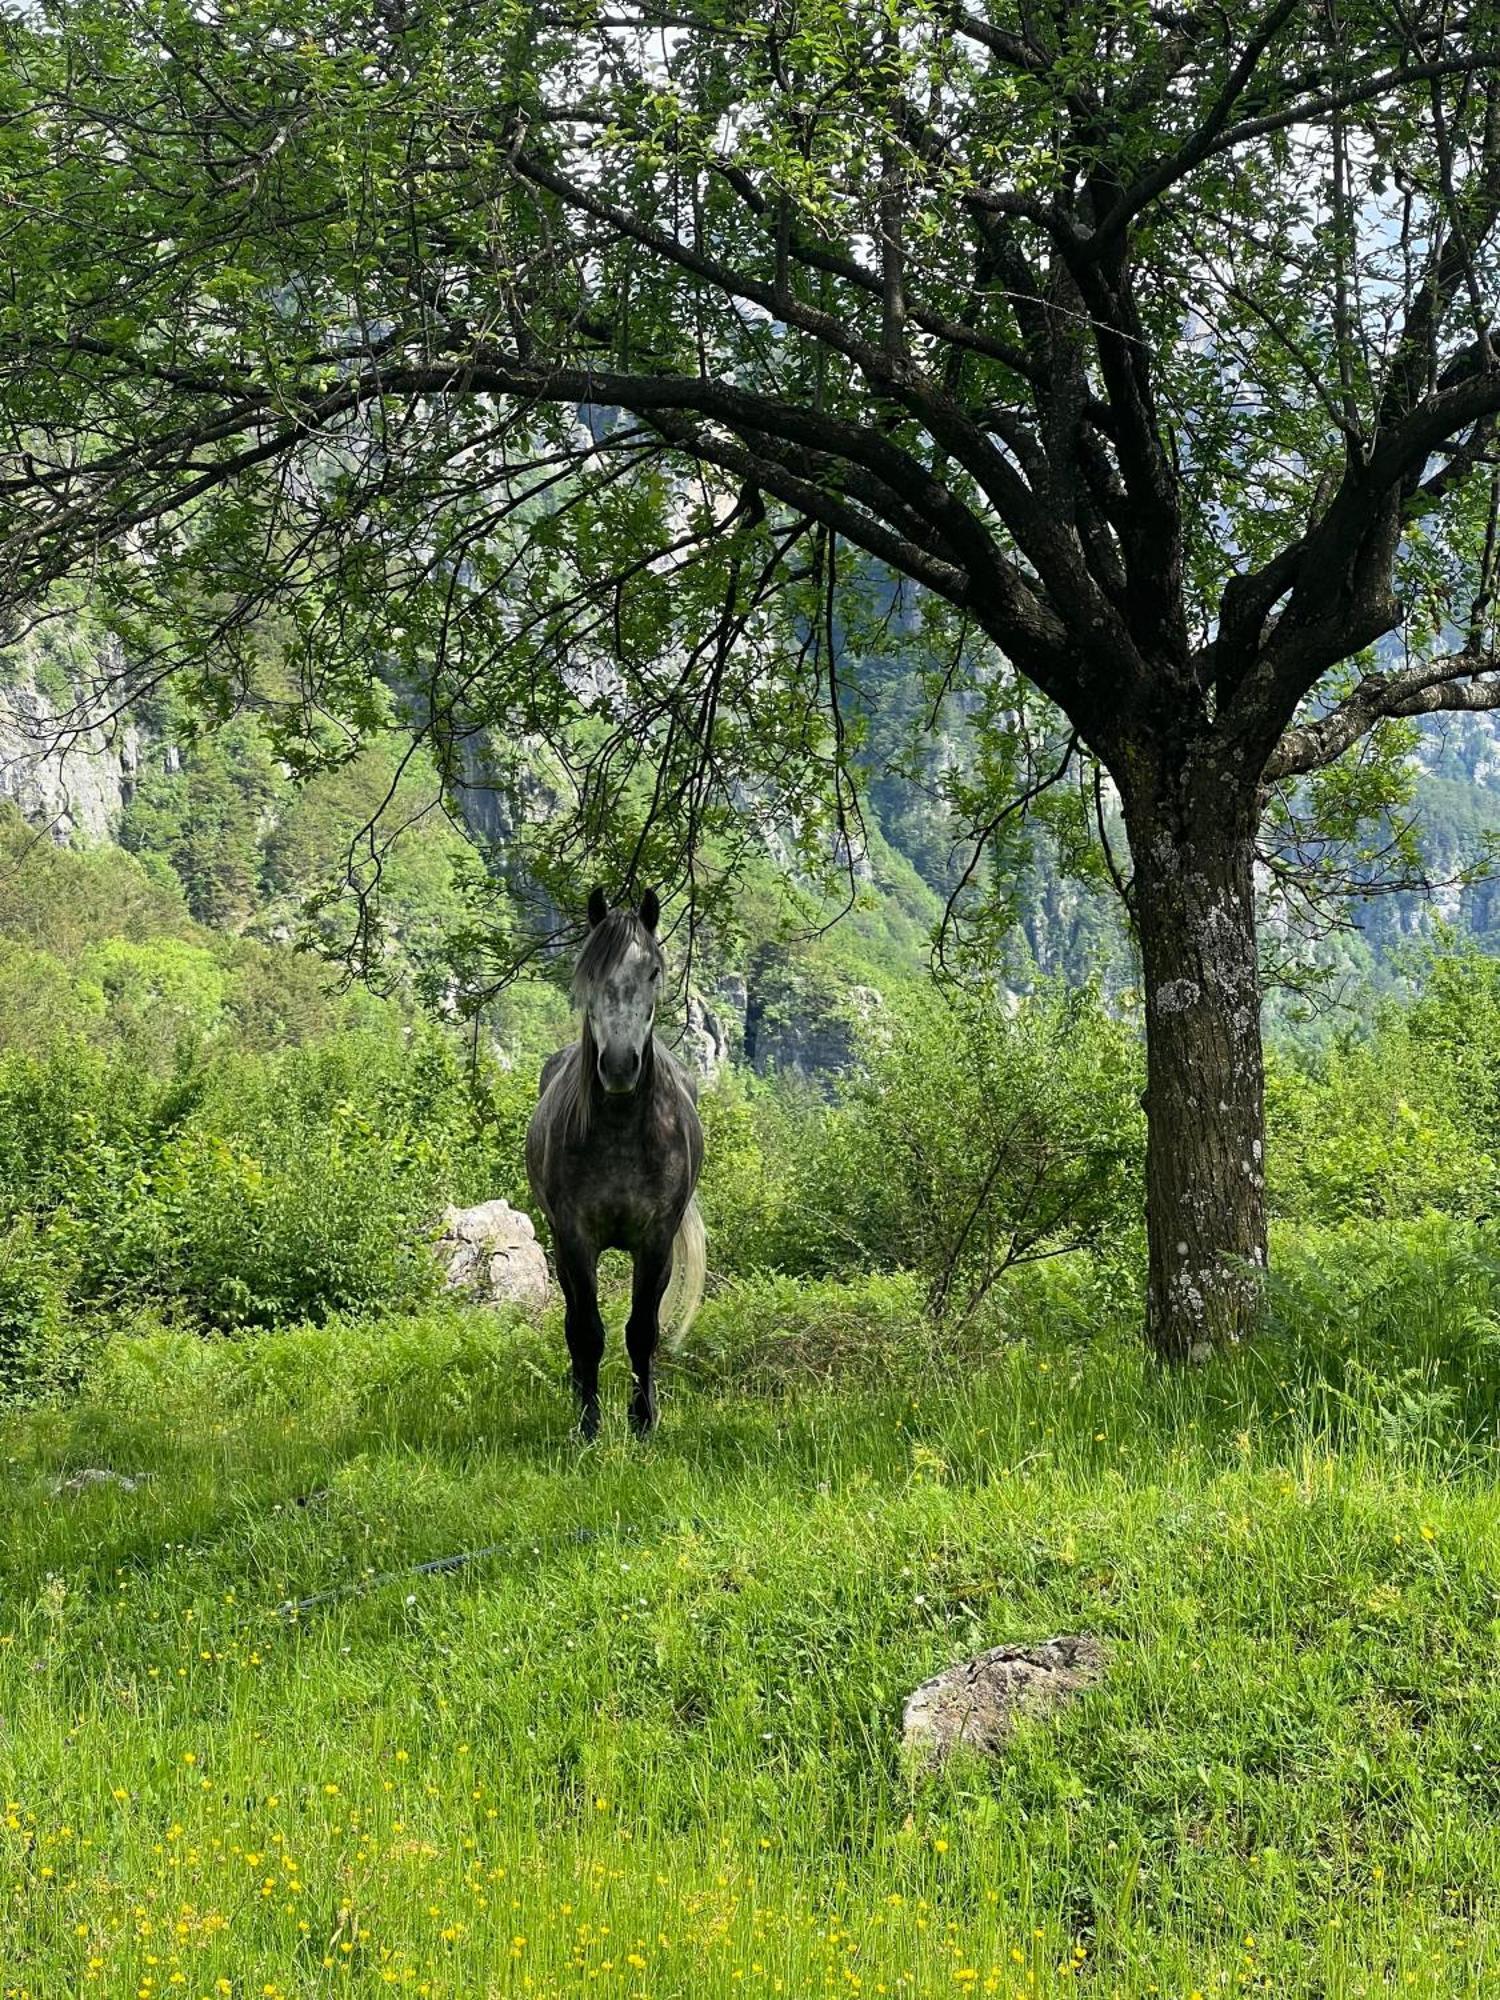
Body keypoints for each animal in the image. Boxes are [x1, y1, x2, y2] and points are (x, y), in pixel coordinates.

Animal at [524, 892, 708, 1440]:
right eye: (590, 971)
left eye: (653, 970)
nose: (621, 1065)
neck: (624, 1132)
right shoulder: (575, 1238)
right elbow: (587, 1331)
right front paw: (589, 1426)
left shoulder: (656, 1241)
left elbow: (642, 1331)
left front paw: (643, 1421)